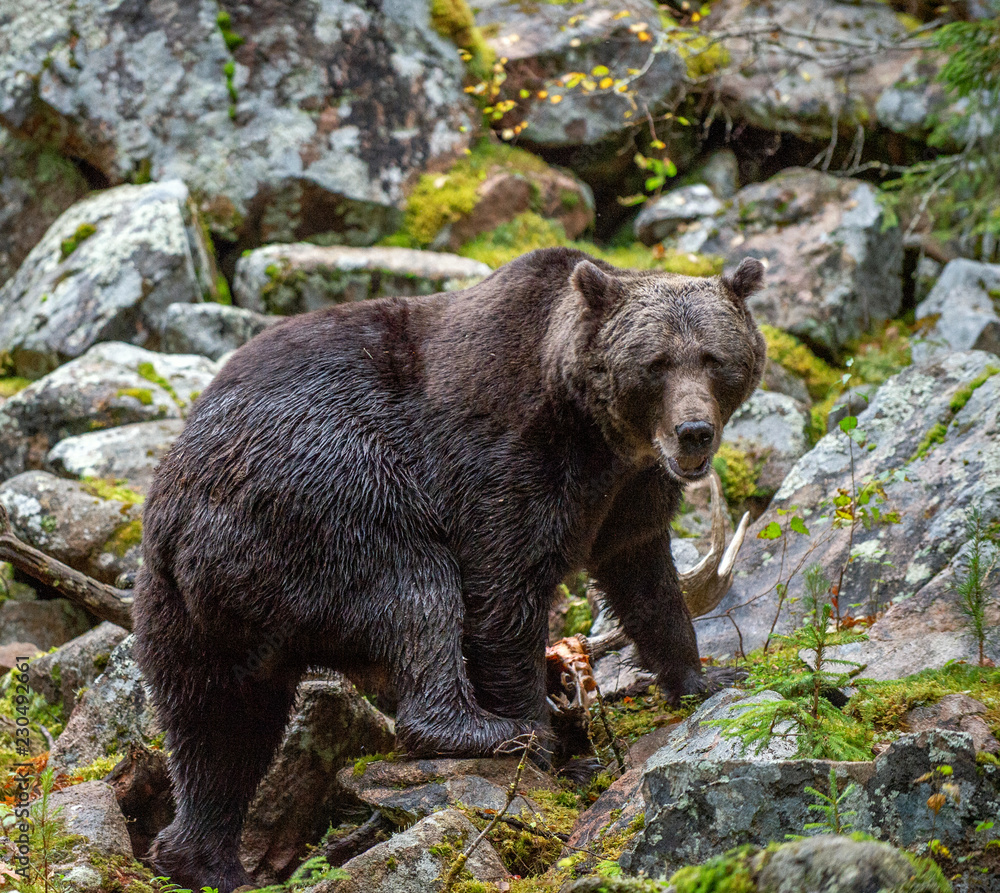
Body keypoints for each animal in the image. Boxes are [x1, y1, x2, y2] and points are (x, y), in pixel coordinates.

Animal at [132, 247, 767, 892]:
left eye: (714, 358)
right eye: (655, 363)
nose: (694, 432)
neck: (596, 432)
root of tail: (190, 538)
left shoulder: (630, 493)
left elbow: (646, 580)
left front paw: (708, 677)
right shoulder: (507, 463)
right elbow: (505, 594)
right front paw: (542, 737)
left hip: (179, 606)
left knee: (217, 725)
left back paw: (204, 858)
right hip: (325, 496)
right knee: (415, 591)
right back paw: (483, 729)